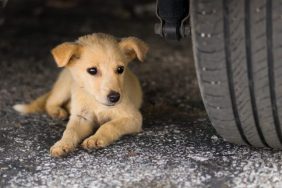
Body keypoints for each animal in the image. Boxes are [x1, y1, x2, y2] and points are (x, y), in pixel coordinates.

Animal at [13, 33, 149, 157]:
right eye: (92, 70)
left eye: (120, 69)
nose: (115, 97)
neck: (96, 101)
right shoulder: (81, 117)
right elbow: (70, 130)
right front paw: (62, 144)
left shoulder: (133, 117)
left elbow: (109, 125)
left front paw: (95, 138)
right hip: (64, 87)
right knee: (50, 101)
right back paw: (57, 112)